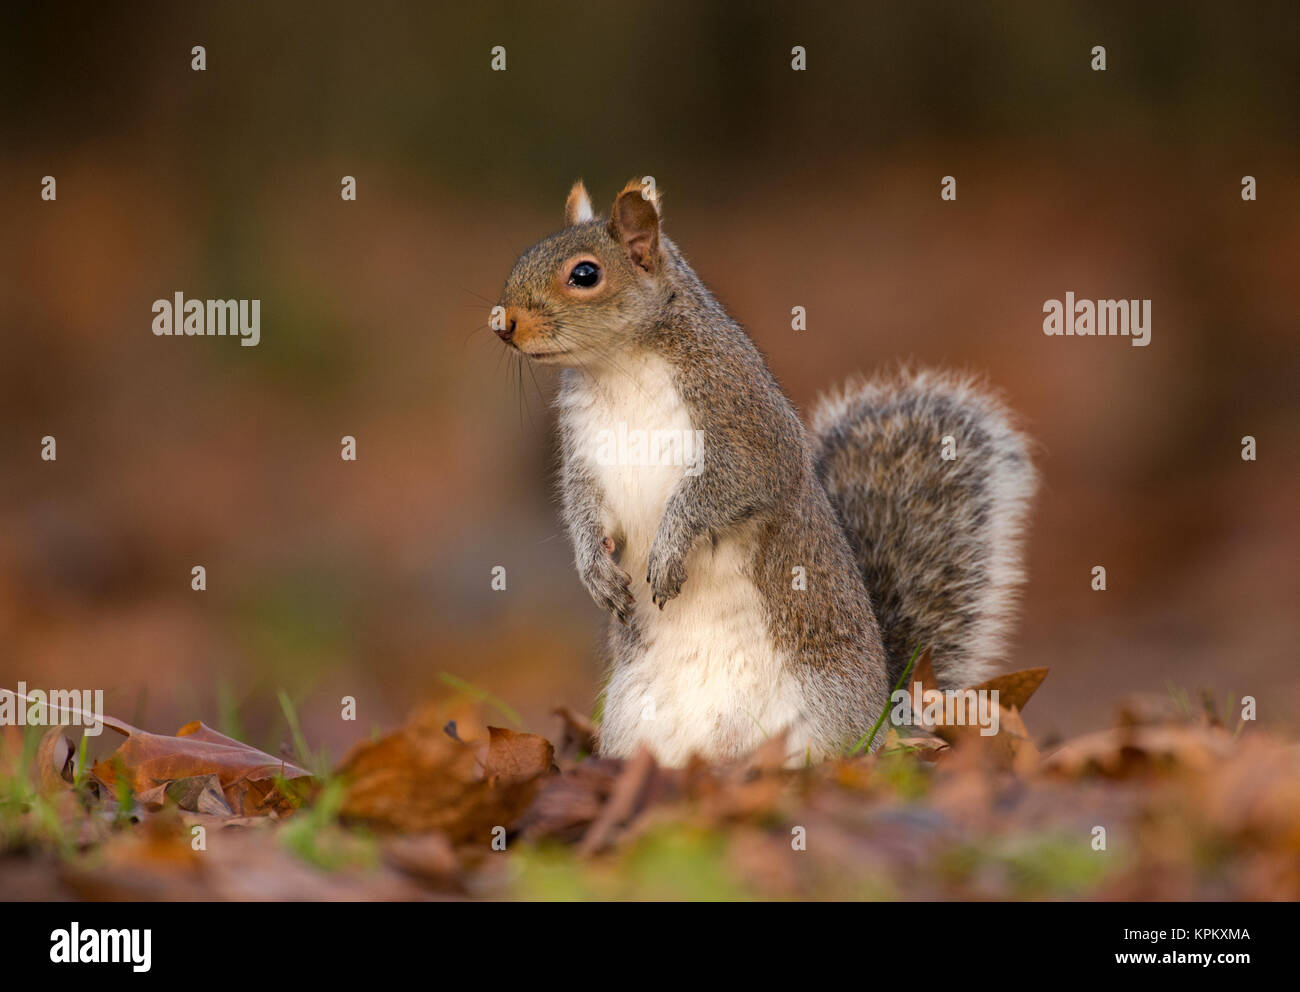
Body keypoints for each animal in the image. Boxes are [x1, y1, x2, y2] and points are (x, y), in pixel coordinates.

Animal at [495, 178, 1036, 766]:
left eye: (585, 274)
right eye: (523, 256)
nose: (504, 323)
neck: (618, 367)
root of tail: (884, 717)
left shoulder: (747, 424)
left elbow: (733, 484)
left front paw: (670, 546)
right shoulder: (585, 453)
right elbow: (584, 508)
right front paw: (595, 569)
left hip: (822, 710)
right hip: (631, 719)